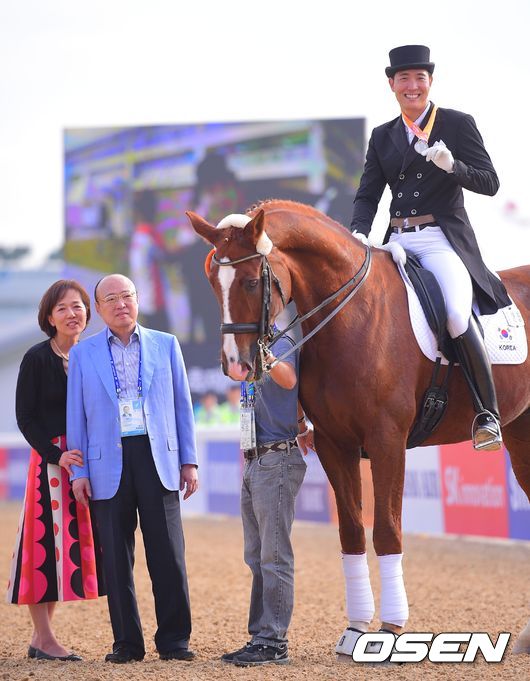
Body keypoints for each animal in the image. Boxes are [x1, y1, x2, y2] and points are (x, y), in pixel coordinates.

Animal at [186, 200, 530, 656]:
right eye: (211, 281)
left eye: (249, 282)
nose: (235, 365)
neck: (353, 314)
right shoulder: (336, 445)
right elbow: (351, 532)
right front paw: (355, 630)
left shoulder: (387, 442)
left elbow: (385, 531)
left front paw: (391, 630)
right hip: (522, 435)